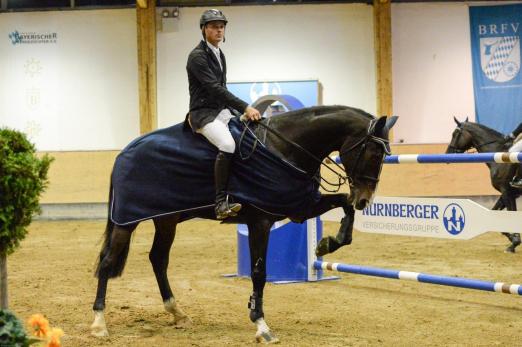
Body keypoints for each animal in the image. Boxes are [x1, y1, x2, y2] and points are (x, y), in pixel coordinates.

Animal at [91, 105, 396, 342]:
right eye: (374, 153)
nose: (365, 199)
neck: (284, 147)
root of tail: (124, 153)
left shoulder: (300, 206)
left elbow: (345, 205)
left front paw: (327, 244)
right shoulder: (260, 220)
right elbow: (258, 272)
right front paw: (261, 325)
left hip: (167, 220)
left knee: (158, 259)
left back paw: (178, 313)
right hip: (127, 221)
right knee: (108, 262)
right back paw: (99, 324)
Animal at [444, 117, 516, 253]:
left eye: (455, 134)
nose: (447, 153)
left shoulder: (506, 189)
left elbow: (510, 212)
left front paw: (514, 241)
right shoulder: (510, 191)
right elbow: (494, 212)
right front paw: (510, 237)